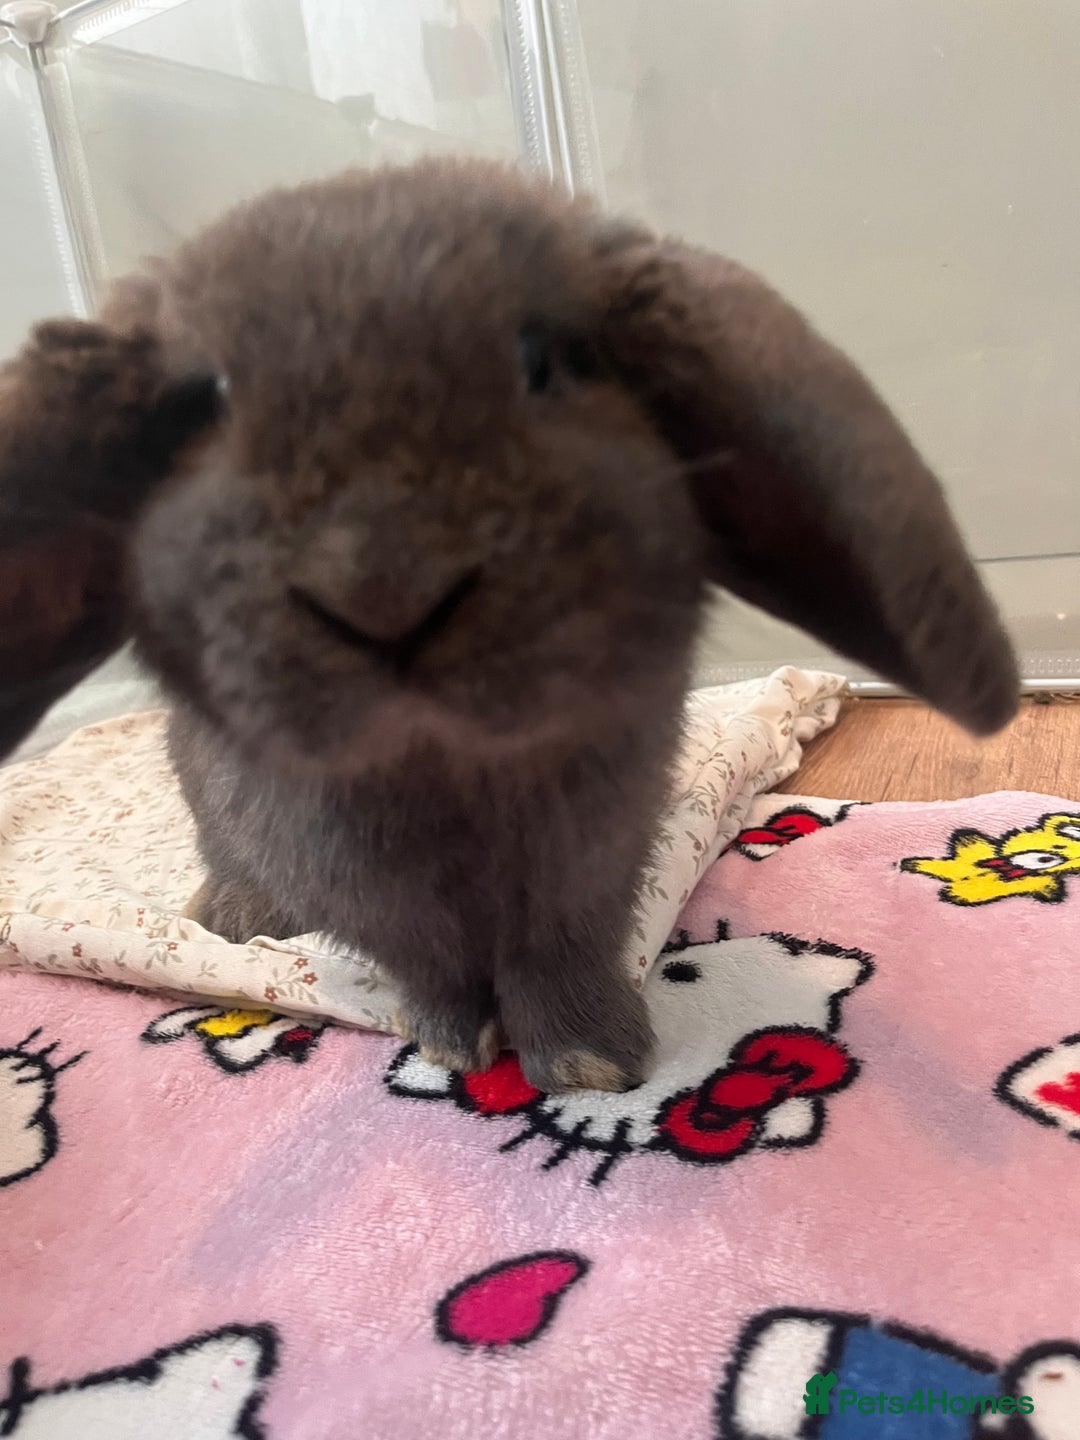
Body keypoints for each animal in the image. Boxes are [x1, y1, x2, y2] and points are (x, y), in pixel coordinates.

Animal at [0, 157, 1018, 1092]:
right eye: (203, 405)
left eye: (542, 360)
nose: (385, 592)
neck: (446, 758)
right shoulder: (366, 883)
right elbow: (432, 960)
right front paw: (454, 1043)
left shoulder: (595, 846)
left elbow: (556, 946)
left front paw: (589, 1060)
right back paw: (230, 916)